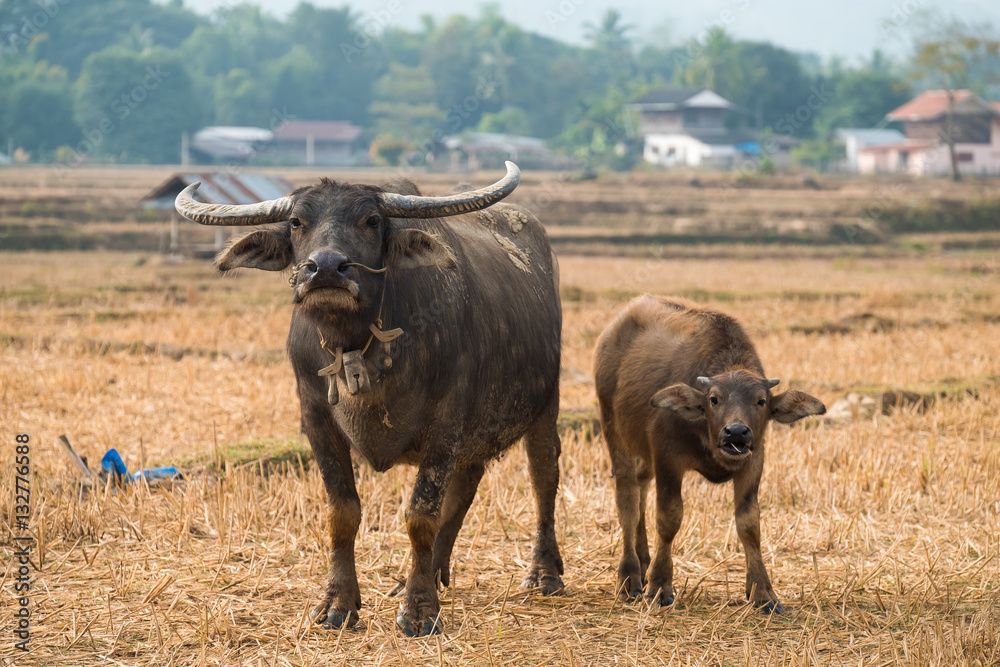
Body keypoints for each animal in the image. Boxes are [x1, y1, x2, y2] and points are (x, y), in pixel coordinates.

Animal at [174, 162, 564, 636]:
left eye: (372, 220)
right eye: (296, 221)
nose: (325, 269)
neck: (357, 344)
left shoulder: (447, 420)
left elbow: (421, 514)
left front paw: (420, 611)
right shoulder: (315, 417)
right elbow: (343, 513)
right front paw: (338, 604)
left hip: (544, 405)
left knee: (543, 478)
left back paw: (544, 574)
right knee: (466, 486)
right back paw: (430, 573)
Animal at [592, 298, 820, 616]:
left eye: (761, 401)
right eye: (714, 399)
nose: (736, 432)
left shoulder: (753, 462)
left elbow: (750, 524)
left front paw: (763, 592)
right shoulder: (667, 457)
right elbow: (669, 518)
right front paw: (660, 586)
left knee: (641, 489)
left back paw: (643, 559)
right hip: (614, 432)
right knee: (627, 500)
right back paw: (630, 578)